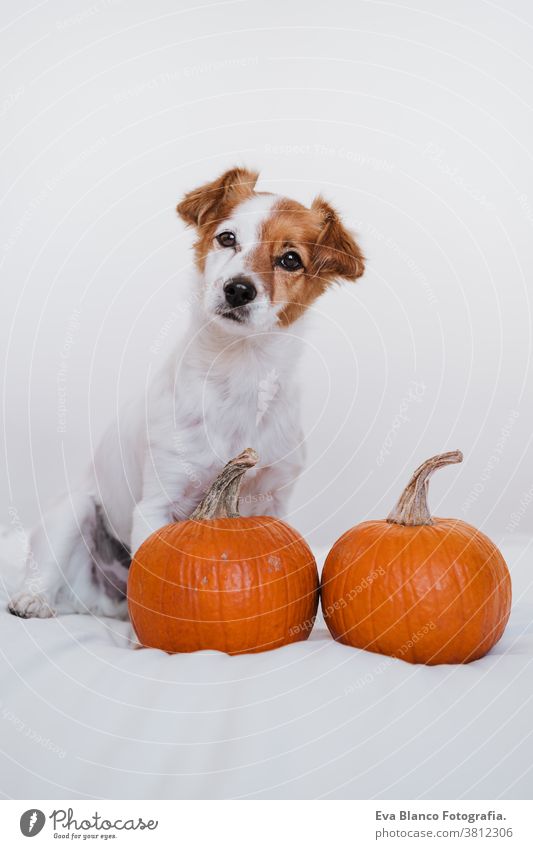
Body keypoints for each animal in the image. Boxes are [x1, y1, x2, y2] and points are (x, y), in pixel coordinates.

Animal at [8, 167, 364, 616]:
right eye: (227, 238)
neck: (240, 373)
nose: (238, 289)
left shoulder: (274, 503)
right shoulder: (158, 502)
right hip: (74, 510)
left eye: (290, 259)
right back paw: (34, 599)